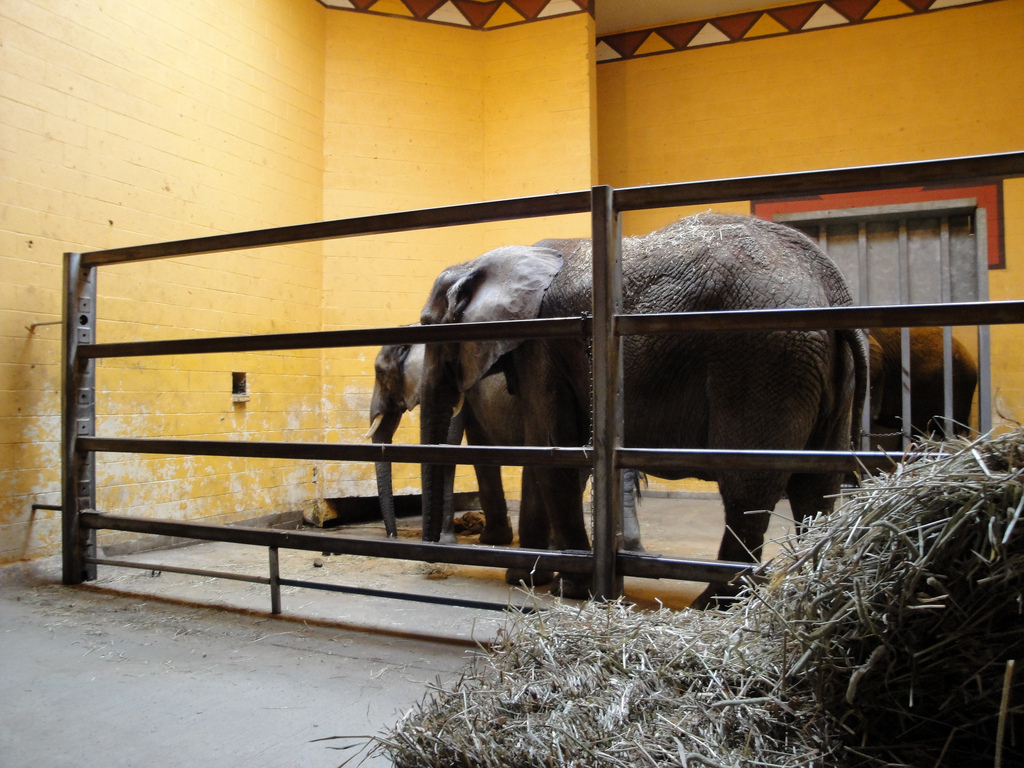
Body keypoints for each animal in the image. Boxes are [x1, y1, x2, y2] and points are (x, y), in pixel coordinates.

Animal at [417, 213, 867, 607]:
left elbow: (554, 457)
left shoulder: (545, 347)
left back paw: (713, 604)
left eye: (426, 326)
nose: (431, 563)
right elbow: (545, 455)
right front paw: (534, 580)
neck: (491, 260)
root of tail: (832, 286)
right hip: (821, 370)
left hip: (764, 357)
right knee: (816, 483)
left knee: (747, 484)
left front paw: (567, 589)